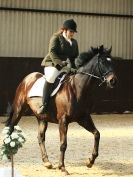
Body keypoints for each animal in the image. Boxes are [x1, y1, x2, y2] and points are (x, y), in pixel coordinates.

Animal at [4, 45, 116, 175]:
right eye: (102, 62)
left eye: (112, 62)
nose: (113, 81)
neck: (78, 88)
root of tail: (28, 78)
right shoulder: (63, 120)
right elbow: (63, 144)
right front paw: (62, 167)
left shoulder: (83, 118)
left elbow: (97, 134)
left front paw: (90, 161)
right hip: (19, 110)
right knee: (11, 128)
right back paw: (8, 155)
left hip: (42, 118)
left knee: (40, 137)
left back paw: (47, 162)